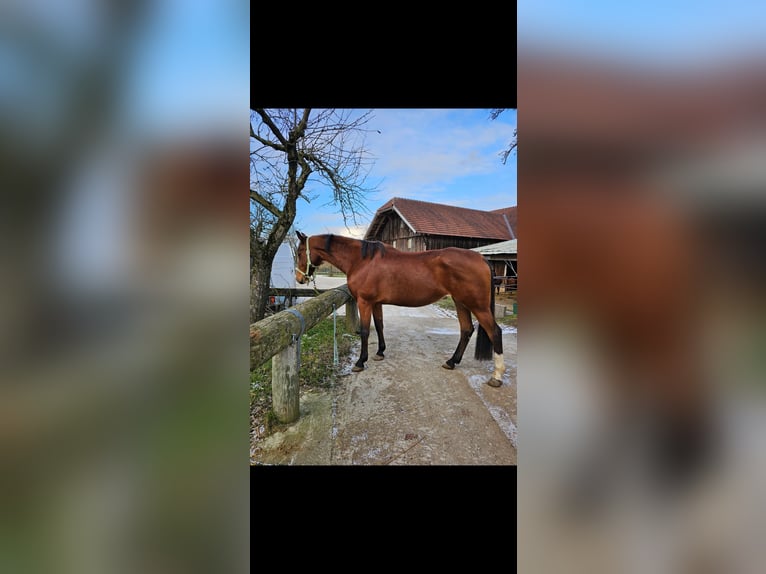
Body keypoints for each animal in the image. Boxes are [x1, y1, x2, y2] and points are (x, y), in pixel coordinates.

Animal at [292, 231, 504, 388]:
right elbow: (379, 326)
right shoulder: (376, 303)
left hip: (478, 306)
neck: (362, 261)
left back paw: (497, 377)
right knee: (466, 329)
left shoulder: (364, 302)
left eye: (300, 252)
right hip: (460, 302)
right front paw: (380, 352)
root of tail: (481, 258)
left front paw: (360, 362)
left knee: (494, 331)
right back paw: (451, 362)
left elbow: (365, 331)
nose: (299, 278)